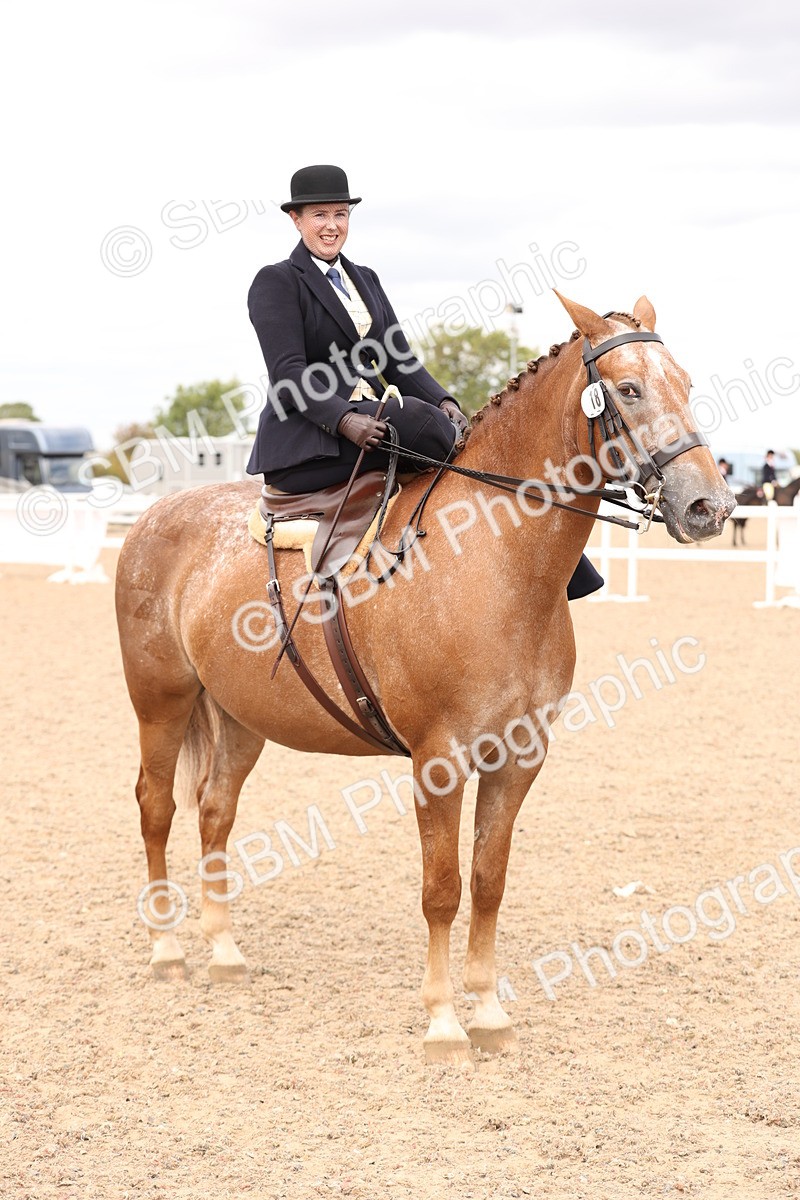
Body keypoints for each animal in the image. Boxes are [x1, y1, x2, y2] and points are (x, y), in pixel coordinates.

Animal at [115, 293, 735, 1067]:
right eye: (628, 389)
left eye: (685, 381)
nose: (709, 506)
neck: (494, 560)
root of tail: (155, 514)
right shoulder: (438, 760)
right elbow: (441, 888)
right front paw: (444, 1023)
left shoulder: (520, 756)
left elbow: (490, 880)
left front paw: (491, 1013)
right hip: (161, 703)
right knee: (156, 808)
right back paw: (167, 950)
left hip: (240, 717)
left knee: (214, 810)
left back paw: (224, 952)